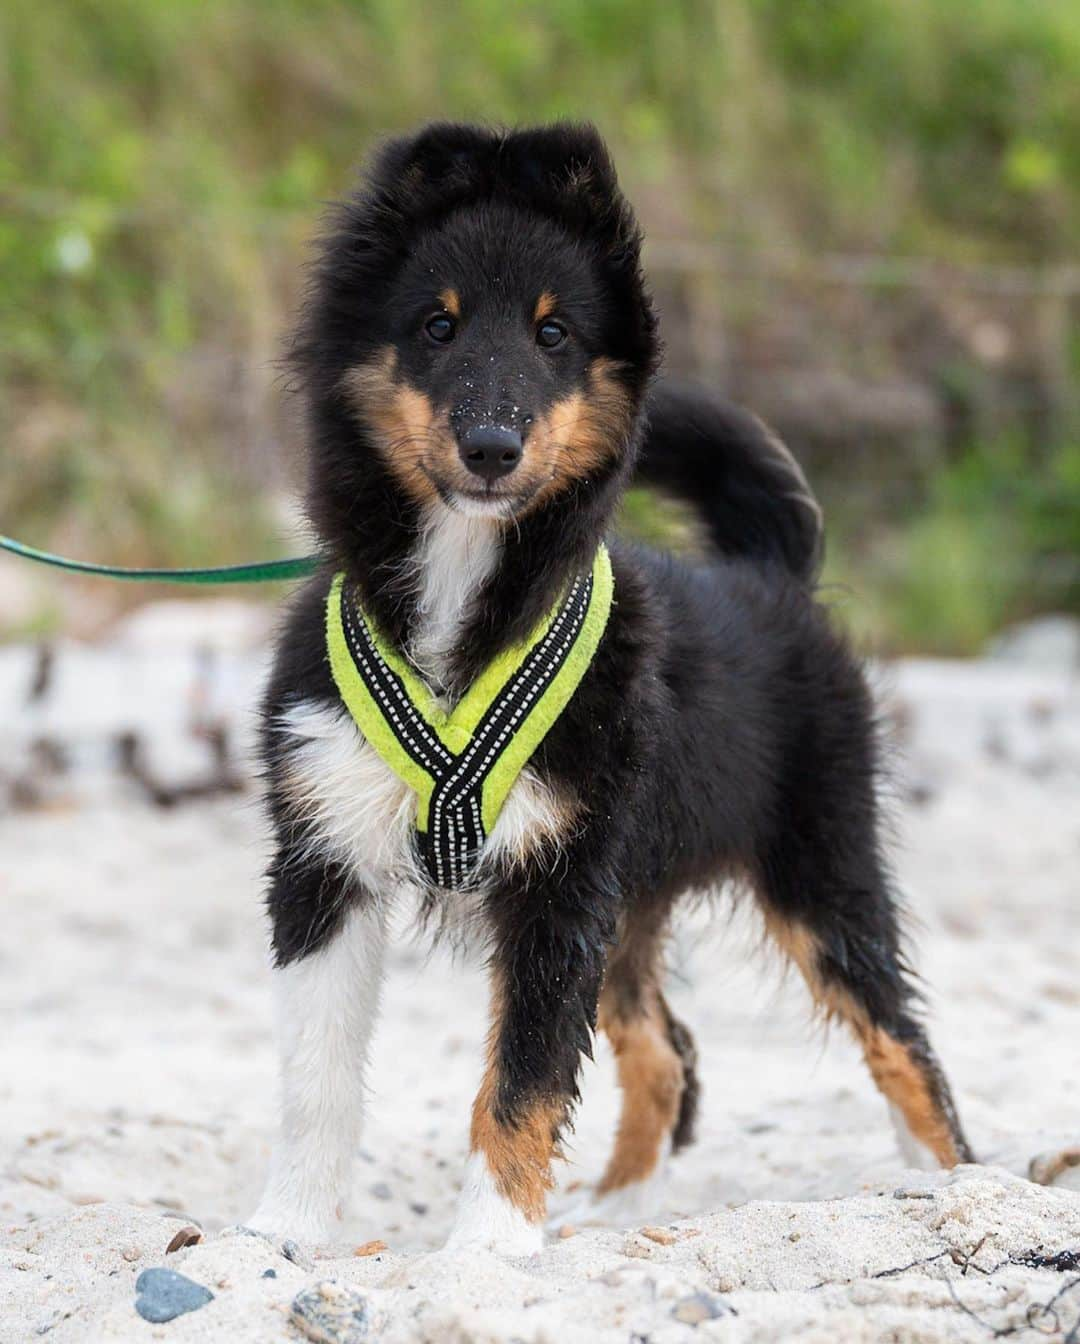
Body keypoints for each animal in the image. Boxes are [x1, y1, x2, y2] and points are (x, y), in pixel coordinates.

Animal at [248, 120, 972, 1252]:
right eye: (436, 326)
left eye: (554, 336)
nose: (492, 448)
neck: (464, 588)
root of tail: (768, 570)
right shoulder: (325, 855)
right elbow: (314, 1077)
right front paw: (283, 1234)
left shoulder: (558, 890)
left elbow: (524, 1078)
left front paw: (487, 1248)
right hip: (634, 898)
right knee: (669, 1052)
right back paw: (619, 1212)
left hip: (817, 868)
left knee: (903, 1041)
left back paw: (961, 1184)